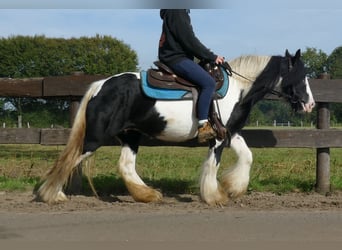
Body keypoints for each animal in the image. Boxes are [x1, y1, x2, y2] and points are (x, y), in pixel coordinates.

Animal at [36, 48, 316, 205]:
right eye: (300, 76)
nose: (310, 104)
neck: (238, 88)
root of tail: (100, 85)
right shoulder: (218, 138)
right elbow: (213, 165)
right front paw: (214, 196)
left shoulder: (230, 132)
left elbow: (247, 156)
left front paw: (233, 188)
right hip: (96, 137)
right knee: (69, 159)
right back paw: (53, 195)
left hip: (131, 135)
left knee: (125, 165)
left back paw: (148, 195)